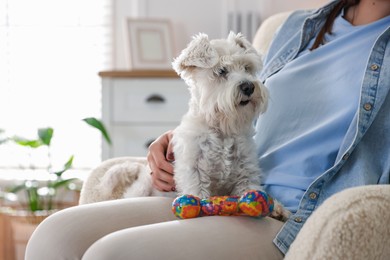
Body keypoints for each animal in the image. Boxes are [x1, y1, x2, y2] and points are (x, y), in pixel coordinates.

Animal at [80, 32, 290, 219]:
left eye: (247, 67)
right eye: (221, 71)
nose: (248, 86)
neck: (222, 128)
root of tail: (141, 170)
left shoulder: (246, 170)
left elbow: (249, 188)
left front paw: (274, 208)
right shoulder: (193, 169)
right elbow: (197, 191)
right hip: (141, 190)